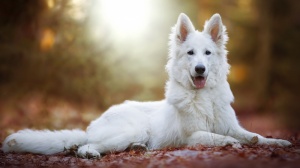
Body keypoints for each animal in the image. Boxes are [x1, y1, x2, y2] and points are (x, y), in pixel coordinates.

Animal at [1, 13, 290, 159]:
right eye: (190, 54)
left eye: (207, 53)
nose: (200, 69)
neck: (203, 97)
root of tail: (92, 125)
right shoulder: (191, 136)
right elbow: (217, 137)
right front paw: (233, 144)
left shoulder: (231, 124)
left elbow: (253, 135)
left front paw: (278, 141)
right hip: (133, 129)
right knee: (84, 147)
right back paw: (93, 153)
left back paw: (137, 149)